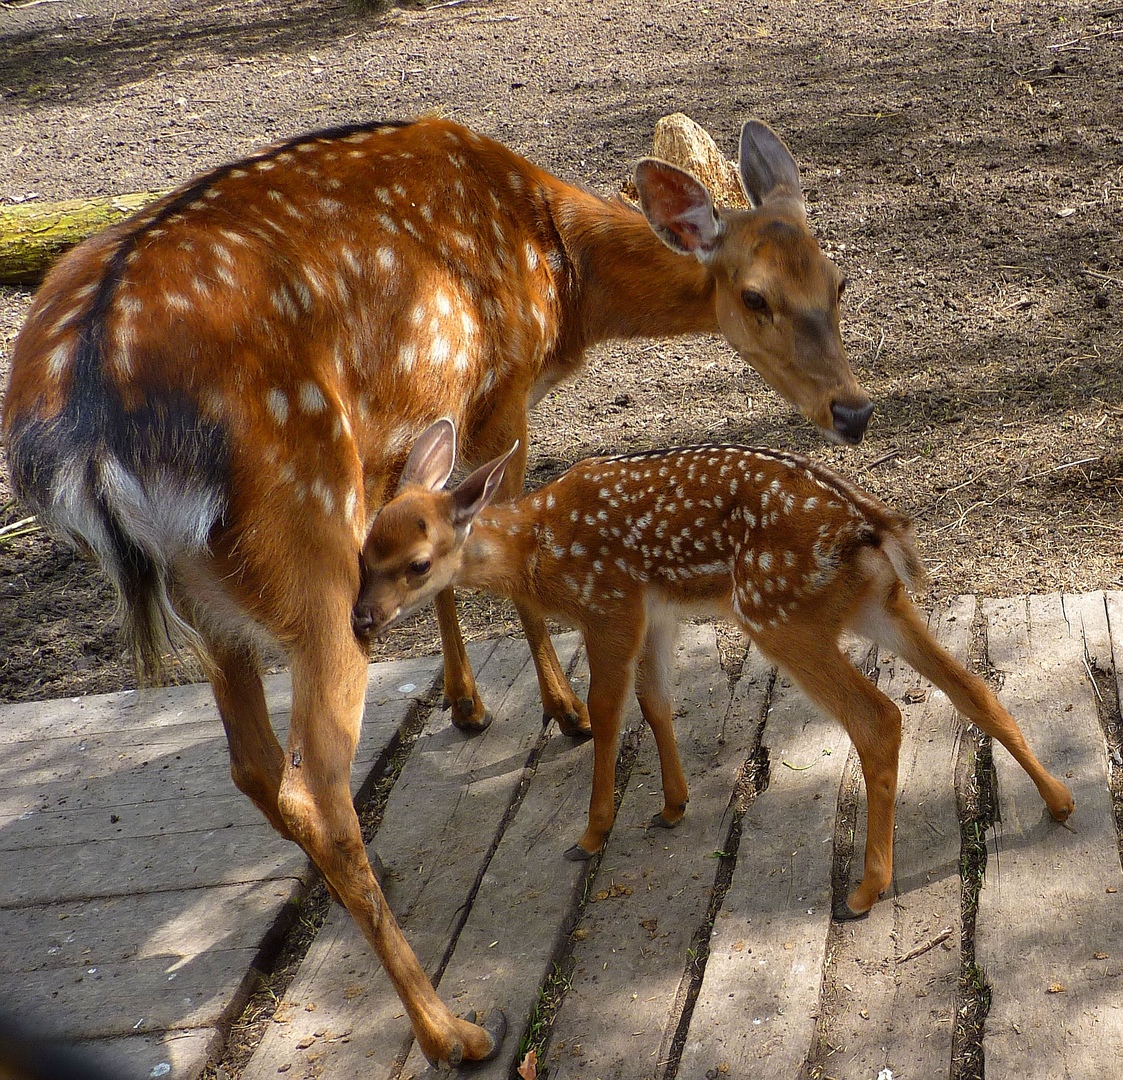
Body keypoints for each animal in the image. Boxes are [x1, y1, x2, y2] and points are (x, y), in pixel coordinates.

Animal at [4, 117, 866, 1059]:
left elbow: (437, 546)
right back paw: (452, 1029)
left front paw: (466, 702)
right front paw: (562, 709)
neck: (561, 275)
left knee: (255, 768)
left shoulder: (416, 426)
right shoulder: (499, 389)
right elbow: (502, 547)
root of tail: (88, 444)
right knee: (318, 784)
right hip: (310, 545)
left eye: (836, 278)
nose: (853, 411)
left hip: (211, 604)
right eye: (754, 297)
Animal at [354, 422, 1073, 916]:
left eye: (417, 563)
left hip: (776, 613)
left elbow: (609, 712)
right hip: (878, 605)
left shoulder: (608, 604)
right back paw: (1059, 801)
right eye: (363, 551)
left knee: (878, 717)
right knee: (972, 685)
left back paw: (865, 890)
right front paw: (673, 805)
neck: (536, 547)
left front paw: (591, 832)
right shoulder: (657, 612)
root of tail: (871, 528)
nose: (361, 619)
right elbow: (656, 702)